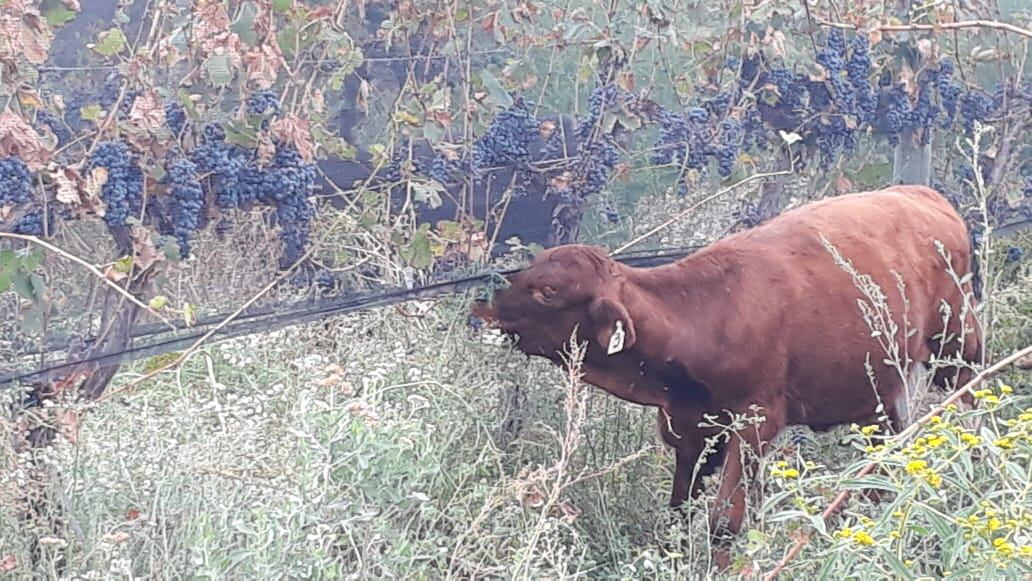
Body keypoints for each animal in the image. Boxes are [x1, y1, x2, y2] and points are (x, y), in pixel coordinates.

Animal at [472, 183, 978, 565]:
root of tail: (918, 192)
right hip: (877, 388)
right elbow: (680, 510)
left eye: (547, 291)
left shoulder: (756, 421)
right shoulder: (688, 425)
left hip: (958, 346)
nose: (484, 304)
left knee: (972, 404)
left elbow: (723, 521)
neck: (707, 316)